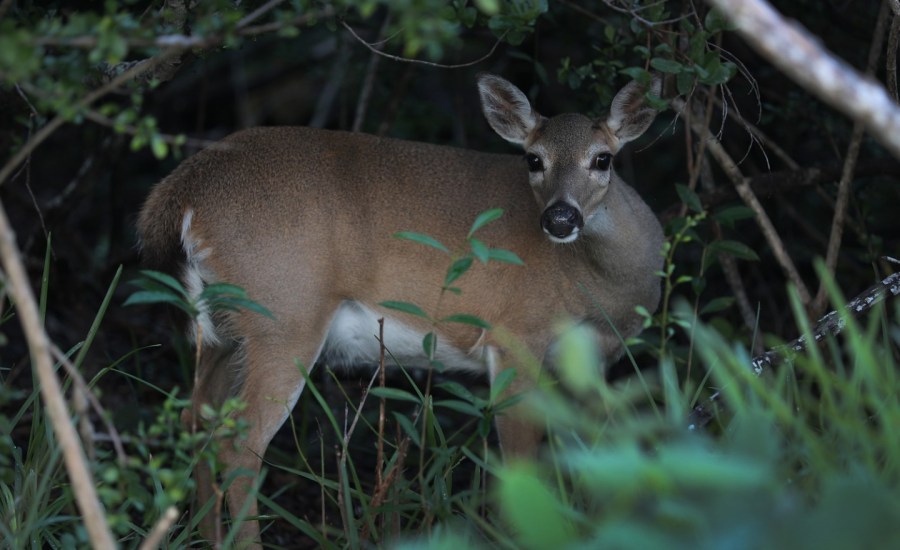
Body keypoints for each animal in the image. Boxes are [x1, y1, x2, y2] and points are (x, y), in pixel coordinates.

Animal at [137, 73, 664, 548]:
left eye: (603, 158)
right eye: (534, 159)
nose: (559, 217)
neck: (596, 285)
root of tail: (183, 193)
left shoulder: (591, 362)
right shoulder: (516, 335)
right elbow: (520, 466)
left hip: (226, 331)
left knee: (196, 421)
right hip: (283, 316)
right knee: (239, 442)